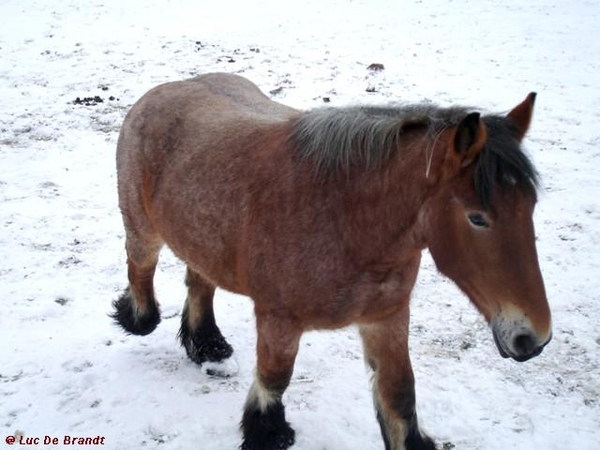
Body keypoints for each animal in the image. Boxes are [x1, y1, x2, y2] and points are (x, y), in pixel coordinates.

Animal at [112, 72, 552, 448]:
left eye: (531, 205)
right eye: (477, 217)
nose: (534, 338)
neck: (345, 218)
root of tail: (163, 90)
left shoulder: (387, 318)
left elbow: (400, 394)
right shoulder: (278, 321)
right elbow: (275, 378)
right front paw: (268, 432)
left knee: (200, 282)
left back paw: (207, 345)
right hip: (143, 231)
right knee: (141, 269)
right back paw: (138, 316)